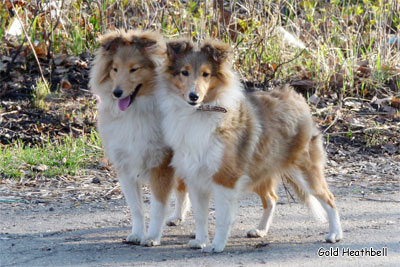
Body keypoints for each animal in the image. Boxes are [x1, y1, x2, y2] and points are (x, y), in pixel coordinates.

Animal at [89, 29, 189, 247]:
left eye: (134, 69)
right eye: (115, 69)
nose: (117, 93)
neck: (136, 110)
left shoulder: (161, 164)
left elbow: (158, 207)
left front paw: (151, 237)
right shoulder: (125, 166)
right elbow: (136, 208)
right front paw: (136, 234)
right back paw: (176, 217)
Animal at [155, 39, 342, 253]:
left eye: (206, 74)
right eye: (184, 72)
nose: (194, 96)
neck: (200, 112)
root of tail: (296, 96)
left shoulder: (225, 178)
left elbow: (222, 218)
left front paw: (216, 245)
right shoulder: (195, 178)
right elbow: (200, 217)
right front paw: (201, 241)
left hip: (303, 170)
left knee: (329, 198)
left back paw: (335, 234)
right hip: (259, 169)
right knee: (271, 199)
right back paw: (260, 230)